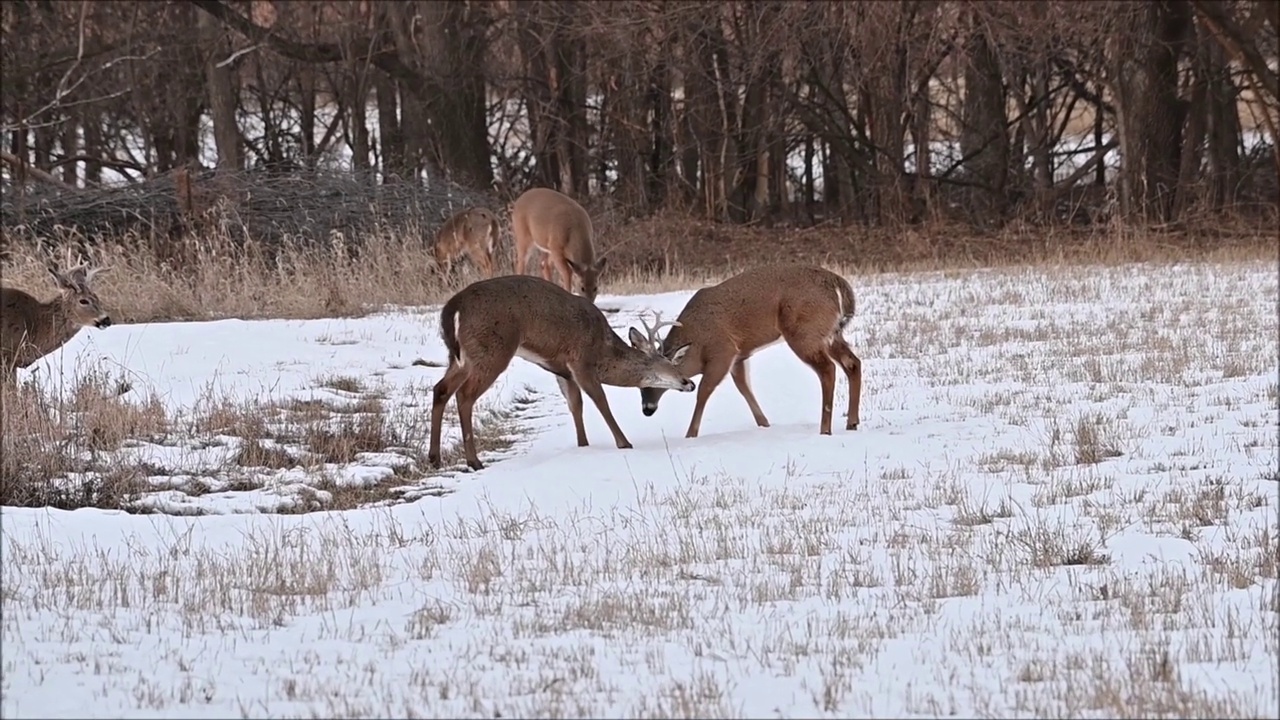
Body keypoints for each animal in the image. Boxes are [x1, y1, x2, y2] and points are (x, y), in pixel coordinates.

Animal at [427, 271, 691, 468]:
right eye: (670, 364)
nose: (689, 382)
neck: (603, 351)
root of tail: (452, 308)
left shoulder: (563, 371)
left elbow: (576, 405)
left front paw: (583, 444)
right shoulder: (581, 359)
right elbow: (600, 400)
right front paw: (624, 443)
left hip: (461, 357)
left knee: (441, 389)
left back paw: (435, 458)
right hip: (492, 350)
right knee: (465, 395)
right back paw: (474, 461)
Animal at [629, 260, 860, 435]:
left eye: (655, 379)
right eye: (638, 384)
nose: (647, 410)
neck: (697, 342)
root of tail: (839, 285)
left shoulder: (723, 350)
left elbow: (704, 391)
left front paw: (690, 434)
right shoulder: (739, 355)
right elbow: (743, 386)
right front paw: (764, 423)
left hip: (804, 331)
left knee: (828, 369)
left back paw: (825, 429)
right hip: (830, 333)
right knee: (853, 363)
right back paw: (852, 422)